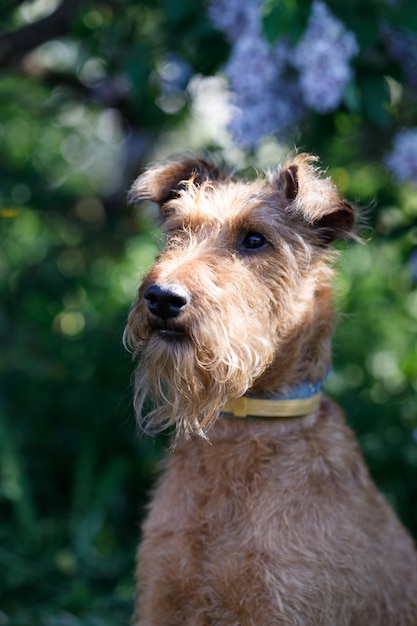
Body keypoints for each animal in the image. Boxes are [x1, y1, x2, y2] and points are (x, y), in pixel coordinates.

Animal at [125, 152, 416, 624]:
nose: (162, 297)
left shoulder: (280, 605)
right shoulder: (162, 596)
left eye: (255, 239)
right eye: (178, 229)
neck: (246, 429)